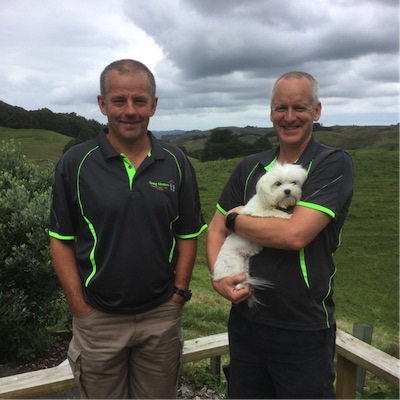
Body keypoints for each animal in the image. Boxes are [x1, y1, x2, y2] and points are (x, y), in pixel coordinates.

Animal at [214, 162, 308, 306]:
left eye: (294, 182)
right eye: (278, 183)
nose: (288, 191)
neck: (271, 202)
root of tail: (217, 276)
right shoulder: (257, 213)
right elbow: (273, 213)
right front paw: (286, 216)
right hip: (236, 267)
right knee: (238, 284)